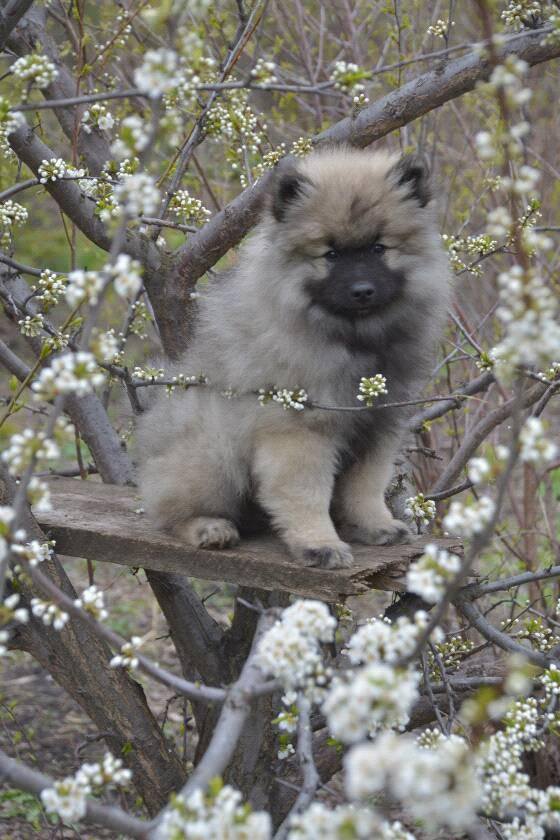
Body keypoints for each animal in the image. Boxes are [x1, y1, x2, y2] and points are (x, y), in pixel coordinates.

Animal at [137, 149, 450, 572]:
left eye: (378, 249)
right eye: (330, 254)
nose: (362, 290)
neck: (351, 338)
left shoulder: (377, 427)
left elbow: (366, 486)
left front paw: (374, 525)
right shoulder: (299, 431)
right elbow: (306, 494)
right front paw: (320, 544)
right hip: (213, 453)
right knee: (169, 513)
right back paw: (209, 528)